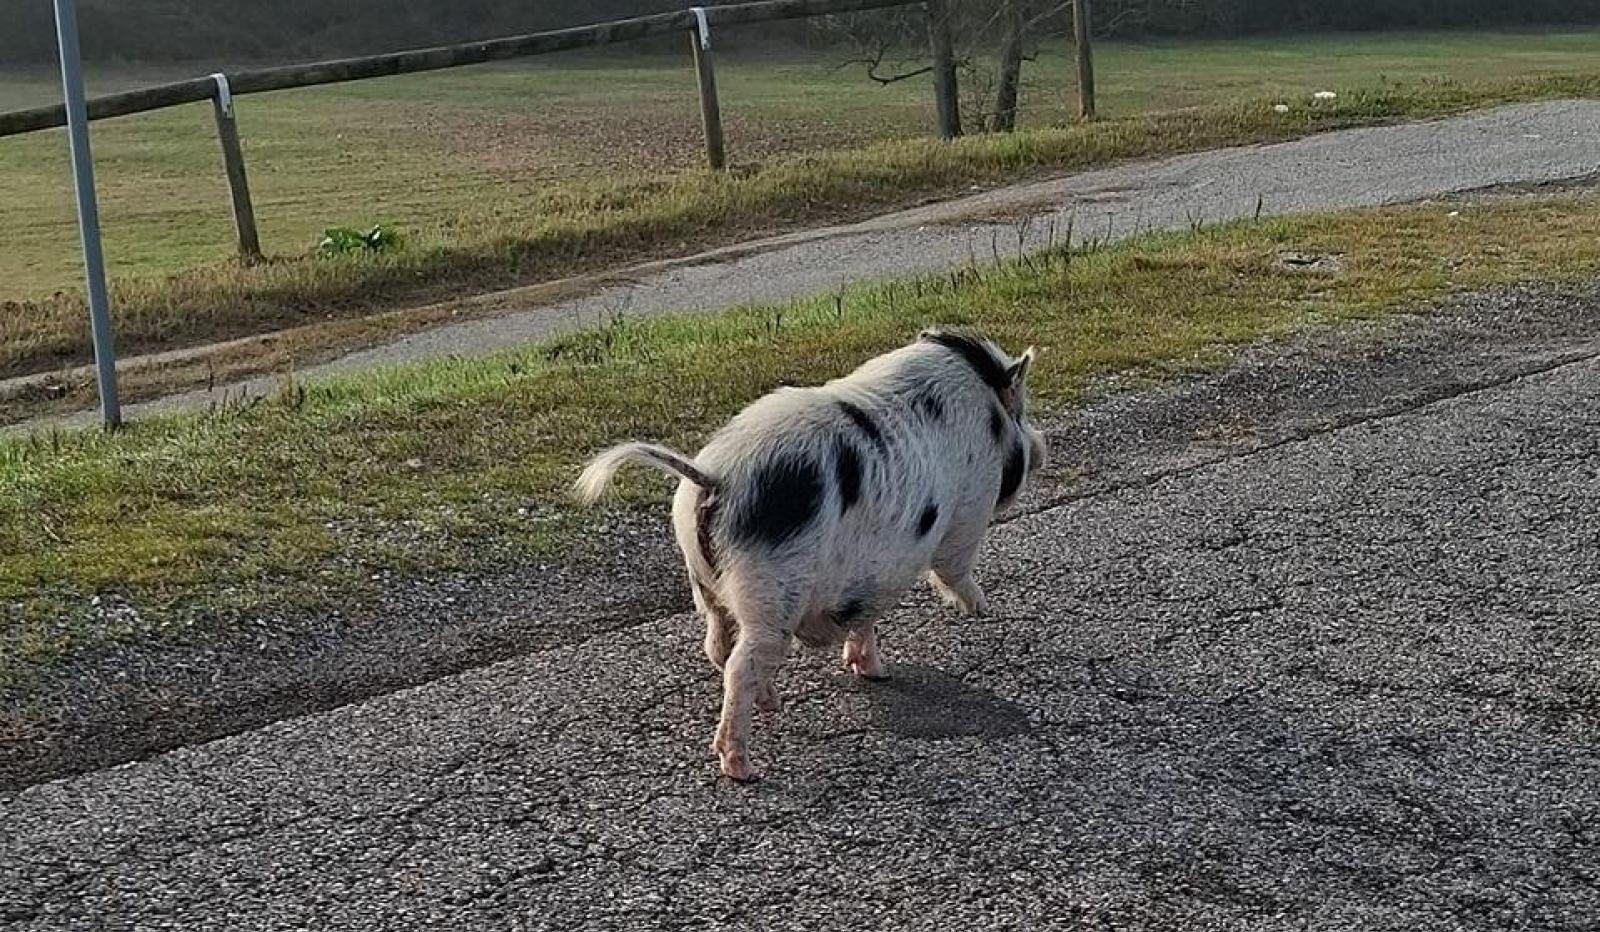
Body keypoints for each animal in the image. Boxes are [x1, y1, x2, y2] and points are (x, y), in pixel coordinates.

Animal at [575, 329, 1046, 781]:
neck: (986, 411)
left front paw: (875, 672)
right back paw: (742, 767)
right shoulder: (969, 506)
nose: (1041, 448)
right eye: (1021, 413)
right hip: (771, 594)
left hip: (706, 582)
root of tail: (715, 479)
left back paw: (770, 703)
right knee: (739, 666)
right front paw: (980, 609)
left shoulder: (869, 577)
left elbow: (865, 618)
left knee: (718, 647)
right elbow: (952, 567)